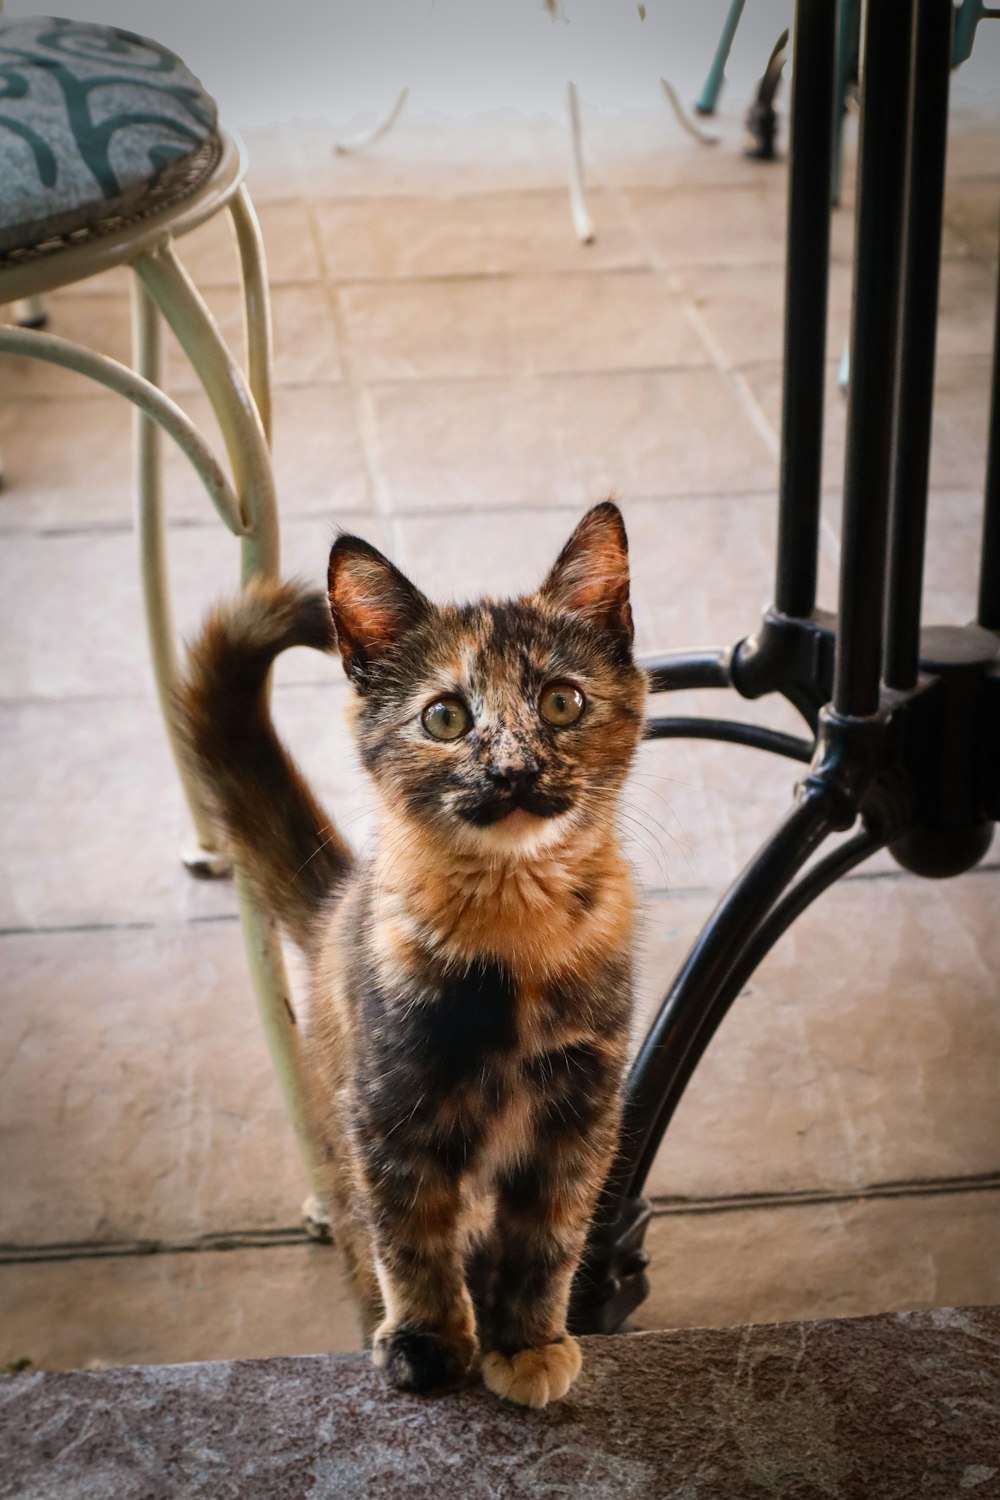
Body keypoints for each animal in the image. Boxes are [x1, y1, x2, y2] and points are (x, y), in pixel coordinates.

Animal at [177, 504, 650, 1404]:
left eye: (562, 702)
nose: (514, 769)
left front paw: (528, 1341)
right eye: (446, 718)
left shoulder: (583, 1113)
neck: (515, 922)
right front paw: (428, 1343)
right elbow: (411, 1234)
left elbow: (548, 1238)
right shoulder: (389, 1107)